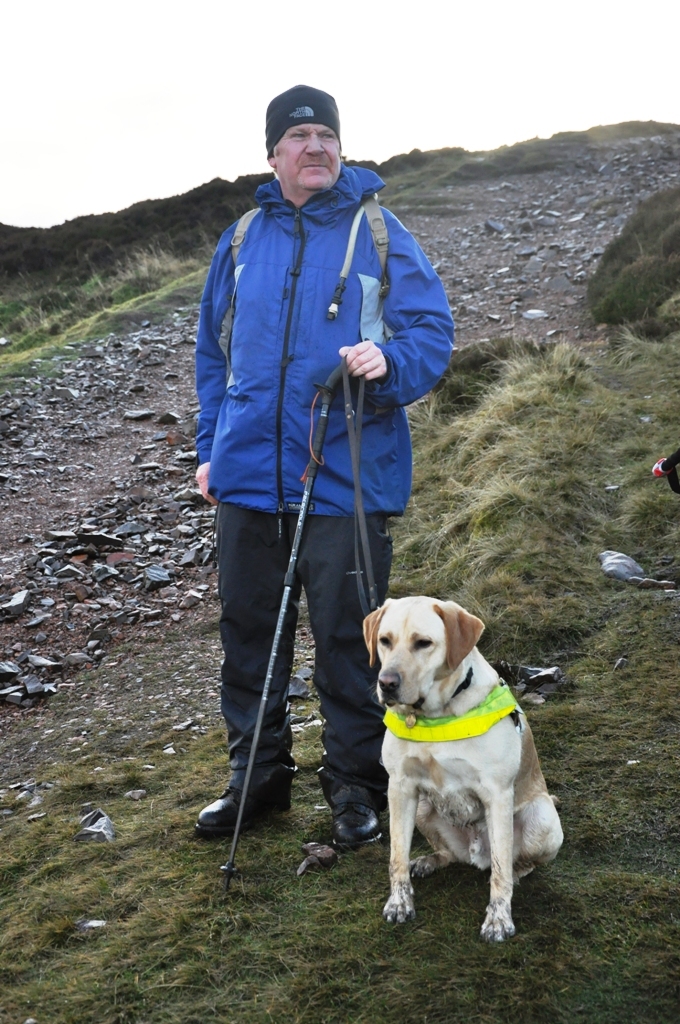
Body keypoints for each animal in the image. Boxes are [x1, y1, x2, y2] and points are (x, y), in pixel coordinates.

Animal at [366, 598, 561, 942]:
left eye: (423, 643)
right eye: (384, 640)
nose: (386, 683)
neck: (435, 717)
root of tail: (475, 852)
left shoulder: (498, 794)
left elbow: (500, 870)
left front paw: (498, 920)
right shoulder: (400, 787)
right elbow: (396, 856)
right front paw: (399, 903)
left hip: (544, 818)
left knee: (511, 862)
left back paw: (516, 872)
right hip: (423, 808)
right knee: (449, 854)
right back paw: (429, 861)